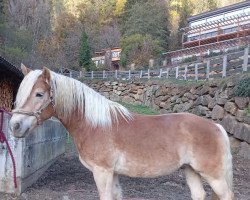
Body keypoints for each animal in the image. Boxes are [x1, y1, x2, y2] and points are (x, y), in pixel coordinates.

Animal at [8, 64, 233, 200]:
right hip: (190, 171)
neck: (94, 124)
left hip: (214, 177)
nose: (14, 126)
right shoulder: (113, 174)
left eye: (39, 94)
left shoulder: (103, 172)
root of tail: (217, 127)